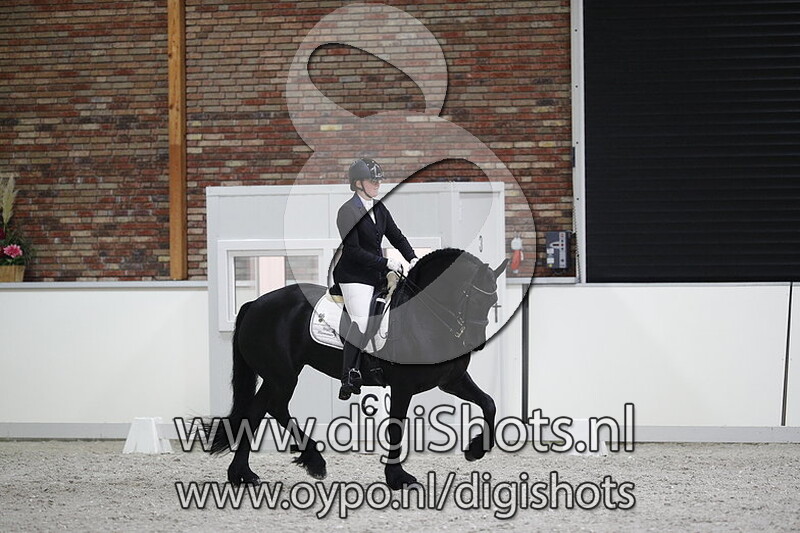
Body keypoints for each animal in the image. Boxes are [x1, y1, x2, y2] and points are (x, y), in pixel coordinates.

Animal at [206, 248, 508, 490]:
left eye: (492, 303)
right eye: (471, 297)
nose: (476, 343)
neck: (423, 316)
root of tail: (255, 303)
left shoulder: (451, 380)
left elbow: (489, 403)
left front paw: (476, 450)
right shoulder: (403, 386)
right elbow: (396, 427)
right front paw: (398, 478)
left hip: (281, 376)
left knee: (270, 408)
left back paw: (288, 466)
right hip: (281, 376)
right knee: (261, 410)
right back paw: (251, 472)